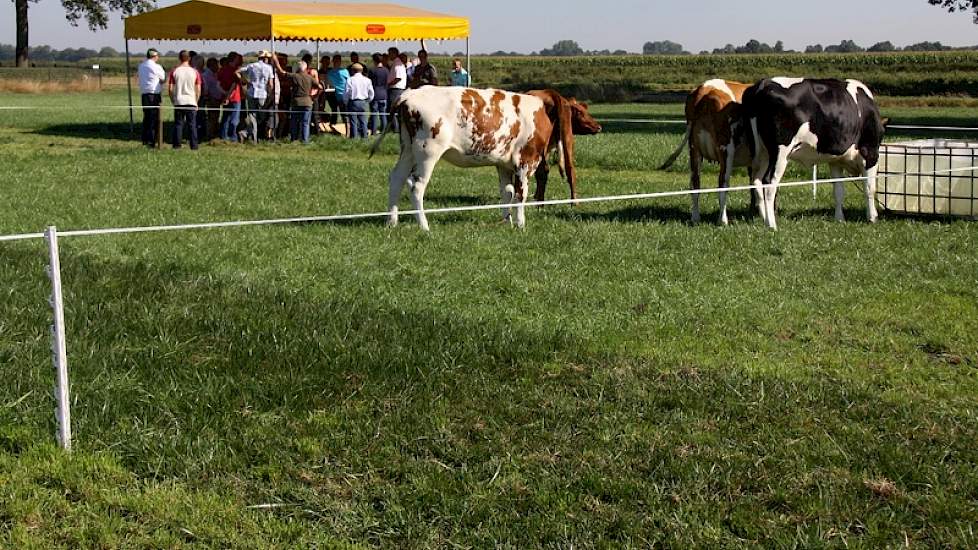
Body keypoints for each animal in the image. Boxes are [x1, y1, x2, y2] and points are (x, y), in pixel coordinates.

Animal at [372, 85, 588, 231]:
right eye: (576, 112)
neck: (537, 111)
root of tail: (409, 94)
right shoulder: (525, 161)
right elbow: (521, 194)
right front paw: (520, 224)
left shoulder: (504, 164)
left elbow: (507, 192)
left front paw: (506, 221)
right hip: (427, 151)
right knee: (416, 186)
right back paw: (424, 226)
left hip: (407, 149)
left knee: (397, 179)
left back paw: (391, 221)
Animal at [660, 79, 752, 224]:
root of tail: (705, 88)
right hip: (726, 150)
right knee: (722, 182)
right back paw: (722, 220)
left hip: (694, 149)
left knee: (695, 182)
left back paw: (695, 218)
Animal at [740, 78, 884, 231]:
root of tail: (763, 84)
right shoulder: (870, 152)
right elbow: (869, 187)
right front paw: (872, 217)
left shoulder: (835, 161)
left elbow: (838, 191)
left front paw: (839, 219)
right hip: (780, 152)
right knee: (768, 183)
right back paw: (772, 225)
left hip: (761, 153)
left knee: (756, 181)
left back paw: (764, 218)